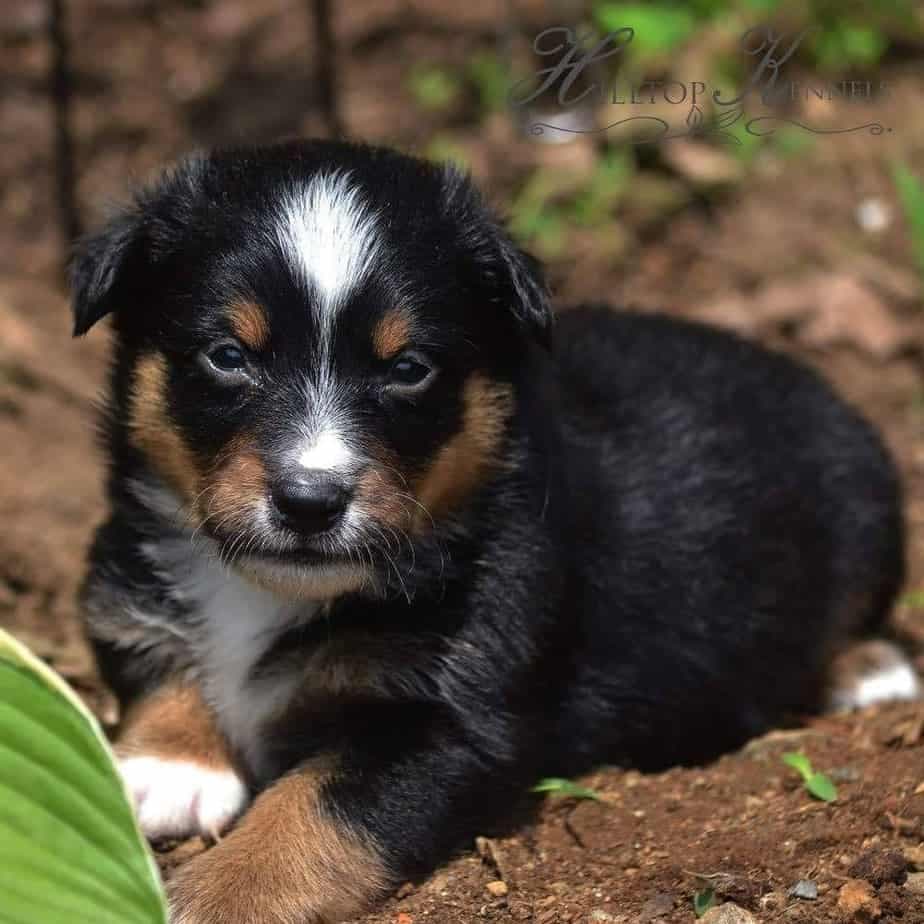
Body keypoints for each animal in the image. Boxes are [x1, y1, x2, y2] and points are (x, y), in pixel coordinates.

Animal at [72, 139, 908, 924]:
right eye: (227, 356)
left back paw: (869, 669)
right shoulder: (118, 582)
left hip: (872, 506)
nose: (311, 501)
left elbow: (316, 805)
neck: (274, 593)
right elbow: (158, 660)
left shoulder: (458, 720)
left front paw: (221, 890)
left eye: (408, 368)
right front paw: (168, 767)